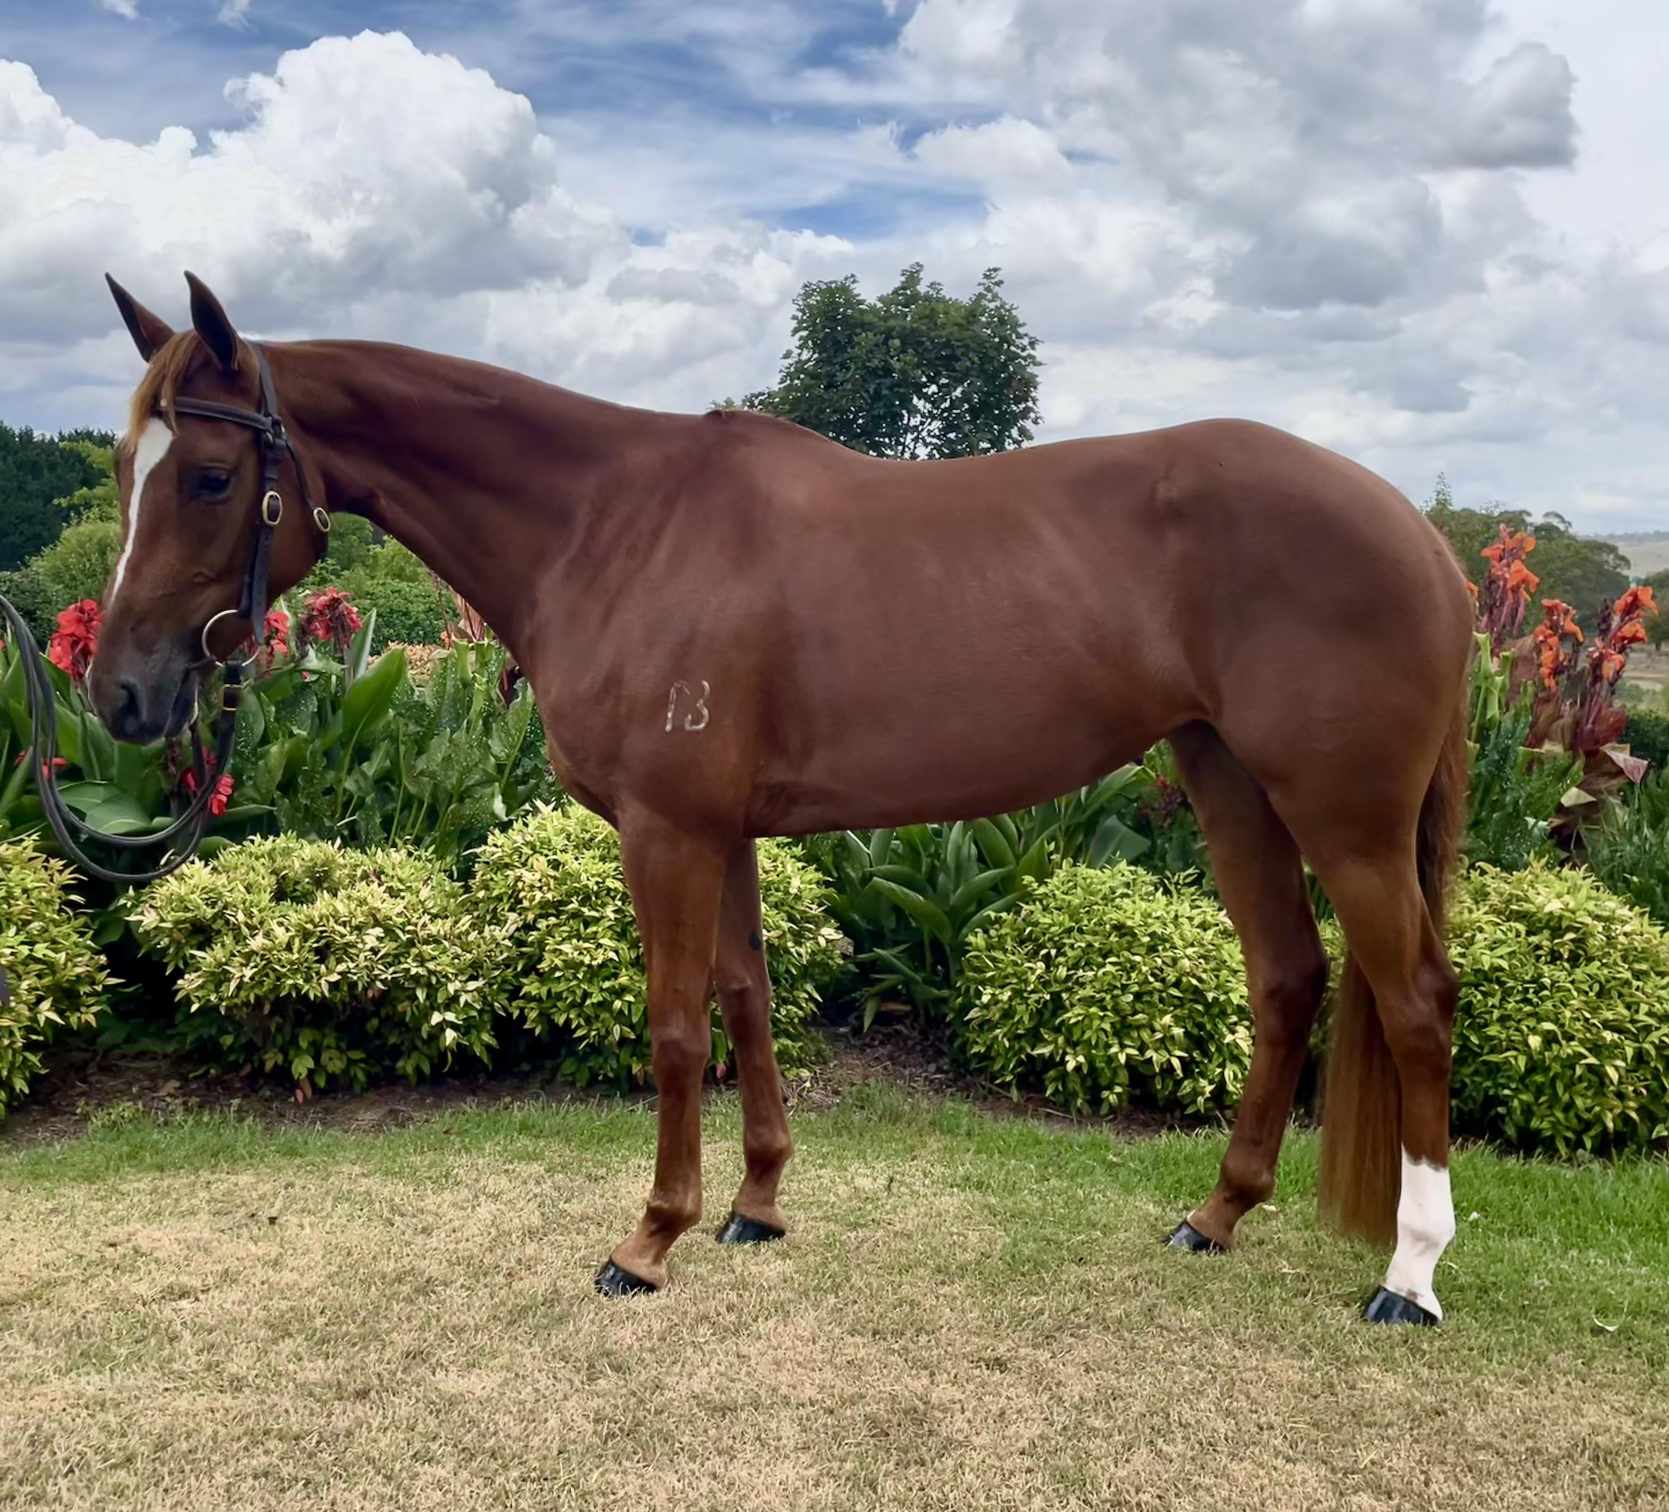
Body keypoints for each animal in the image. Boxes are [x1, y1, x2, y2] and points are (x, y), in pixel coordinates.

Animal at [90, 272, 1473, 1324]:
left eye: (207, 474)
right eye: (120, 466)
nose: (121, 694)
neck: (611, 525)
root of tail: (1415, 531)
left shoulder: (667, 834)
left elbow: (673, 1027)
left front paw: (648, 1240)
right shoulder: (727, 833)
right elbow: (747, 1000)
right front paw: (754, 1208)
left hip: (1344, 817)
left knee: (1412, 1001)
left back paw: (1407, 1276)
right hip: (1225, 778)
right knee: (1287, 976)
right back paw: (1216, 1215)